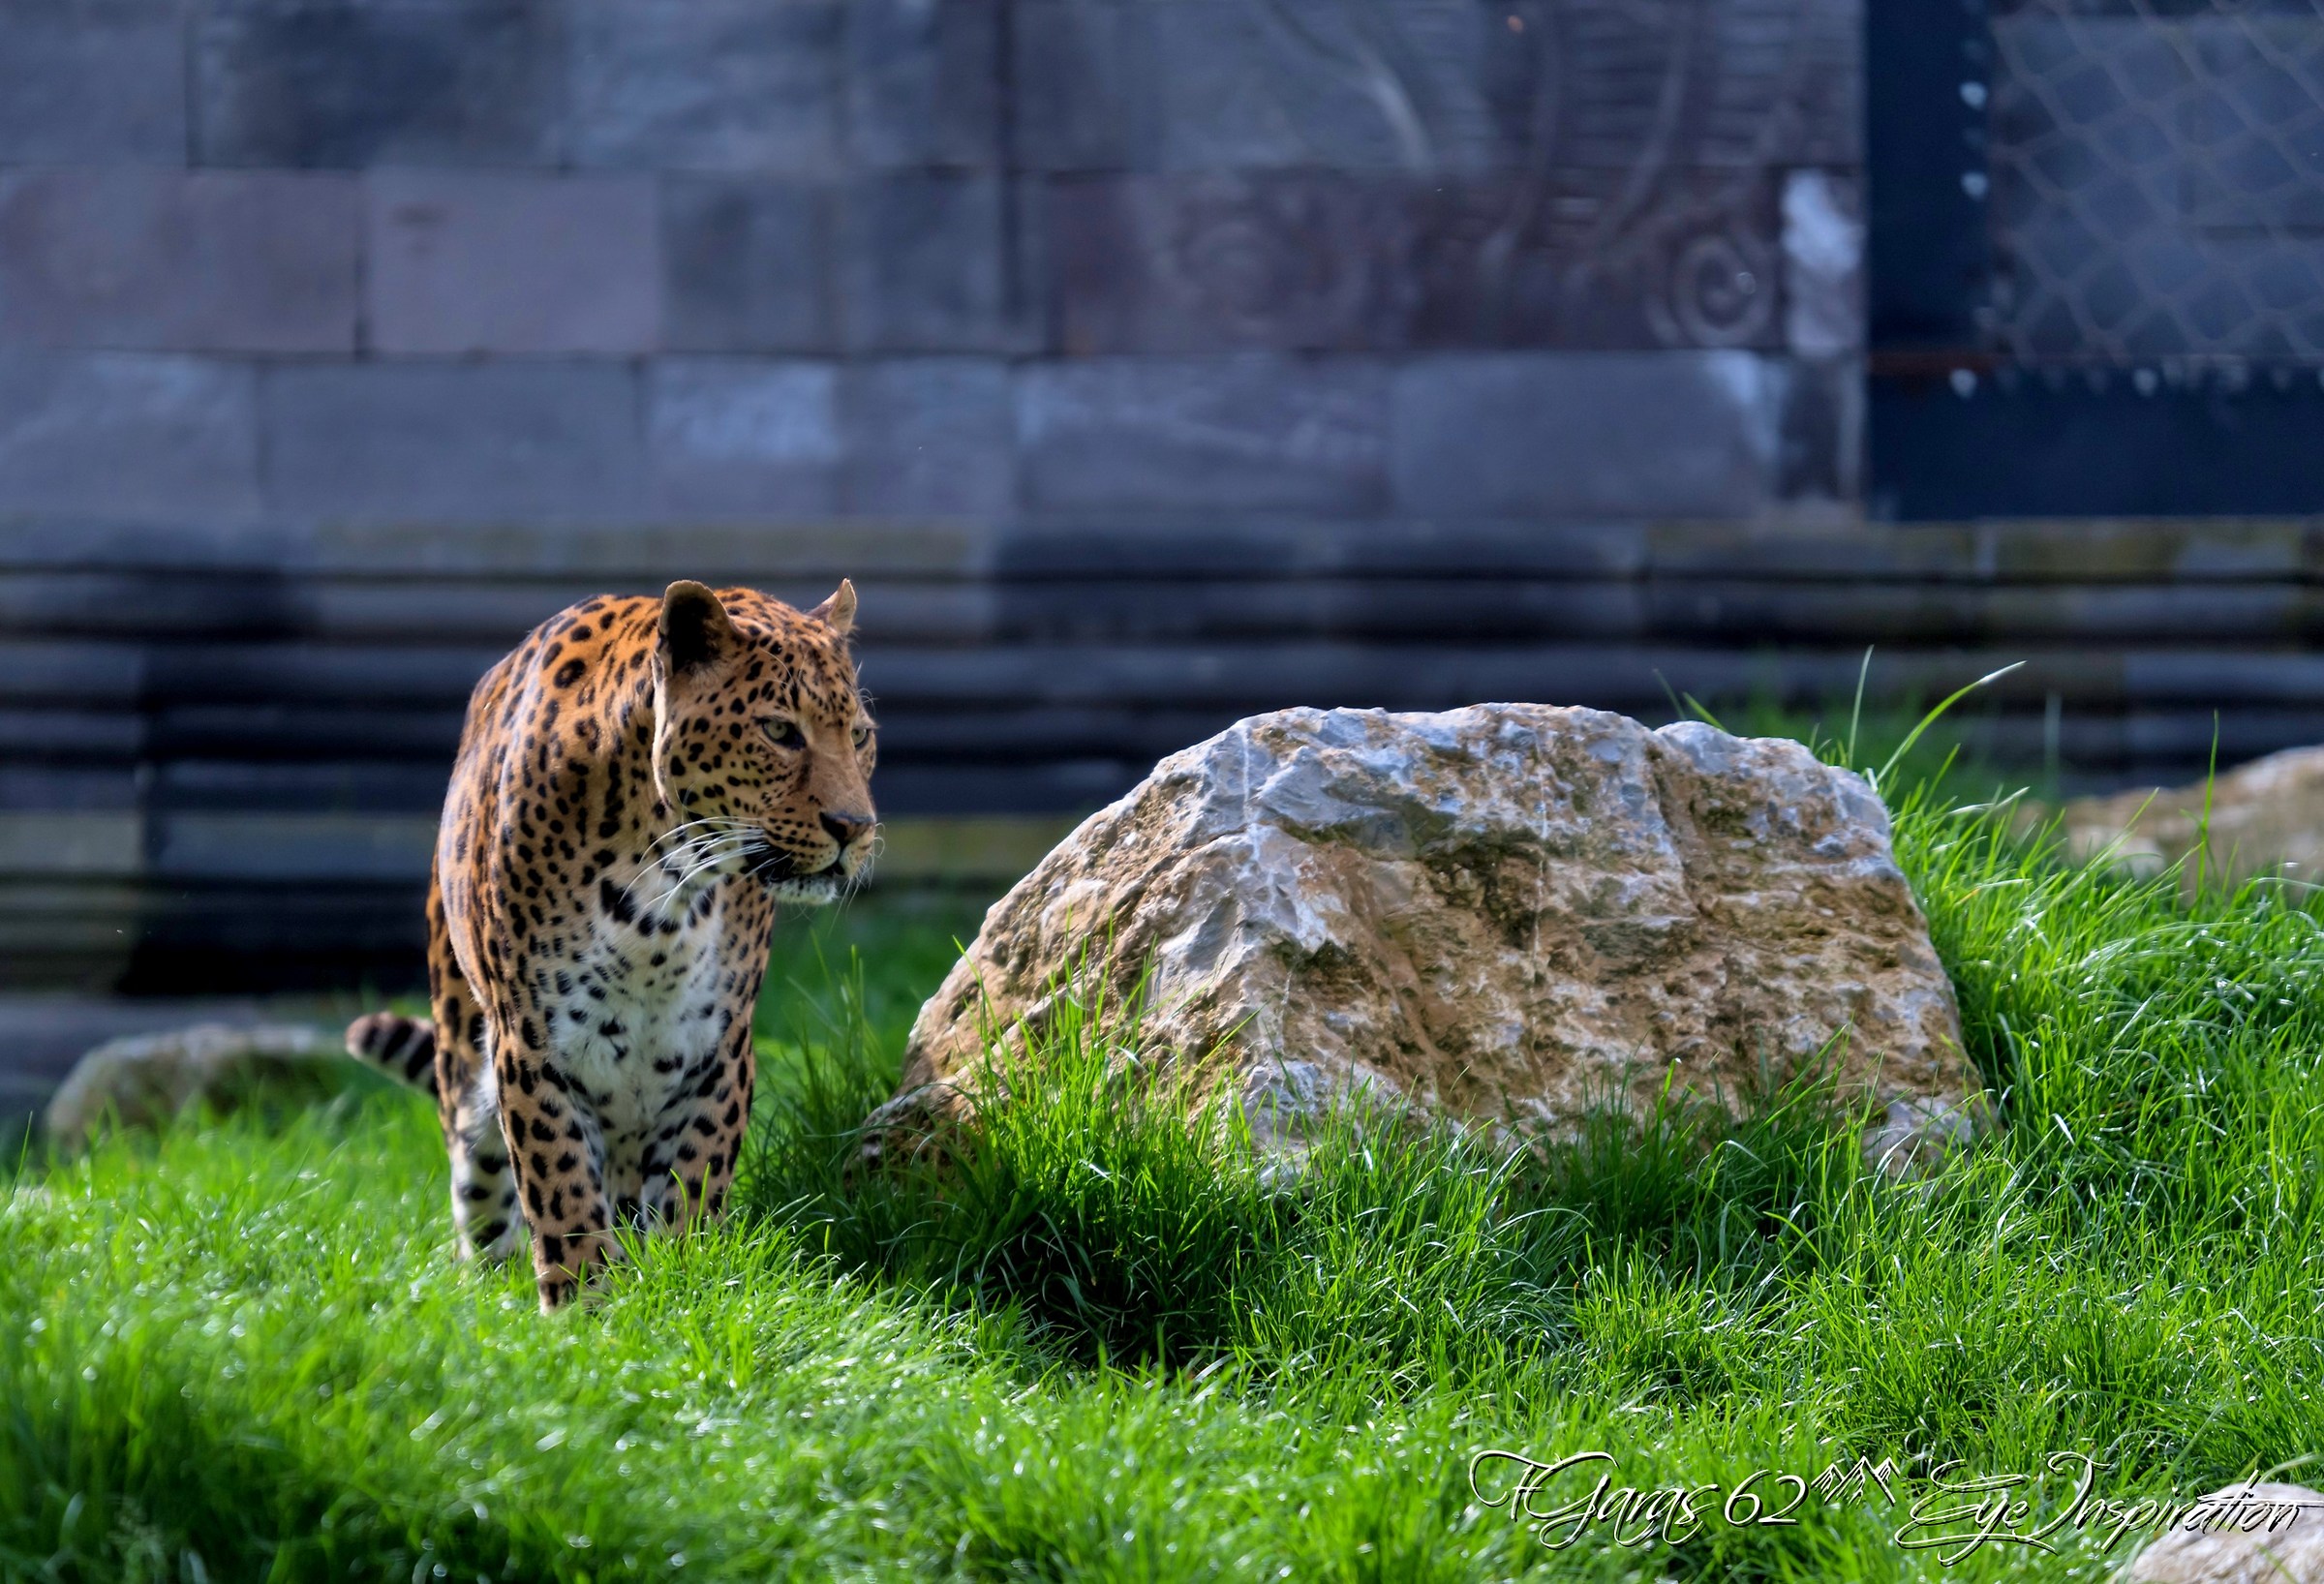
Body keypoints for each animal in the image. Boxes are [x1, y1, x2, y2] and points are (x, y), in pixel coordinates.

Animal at [345, 579, 875, 1311]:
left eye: (861, 736)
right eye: (778, 731)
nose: (855, 826)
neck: (666, 898)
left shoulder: (717, 1052)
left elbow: (692, 1189)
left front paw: (683, 1292)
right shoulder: (534, 1050)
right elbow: (562, 1192)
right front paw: (583, 1311)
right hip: (467, 1070)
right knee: (481, 1206)